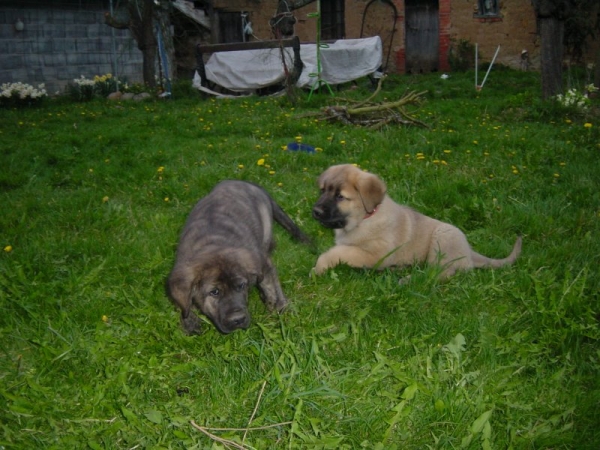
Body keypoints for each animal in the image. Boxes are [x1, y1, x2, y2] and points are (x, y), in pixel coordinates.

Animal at [168, 180, 312, 334]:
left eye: (241, 286)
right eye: (214, 292)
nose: (237, 320)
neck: (212, 243)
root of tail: (245, 182)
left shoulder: (262, 263)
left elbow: (270, 285)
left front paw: (278, 306)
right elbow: (184, 302)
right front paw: (189, 320)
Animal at [312, 163, 524, 280]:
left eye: (340, 196)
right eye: (323, 191)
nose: (315, 211)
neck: (365, 218)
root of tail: (470, 252)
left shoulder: (375, 254)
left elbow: (337, 251)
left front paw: (319, 267)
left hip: (443, 238)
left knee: (440, 274)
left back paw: (408, 280)